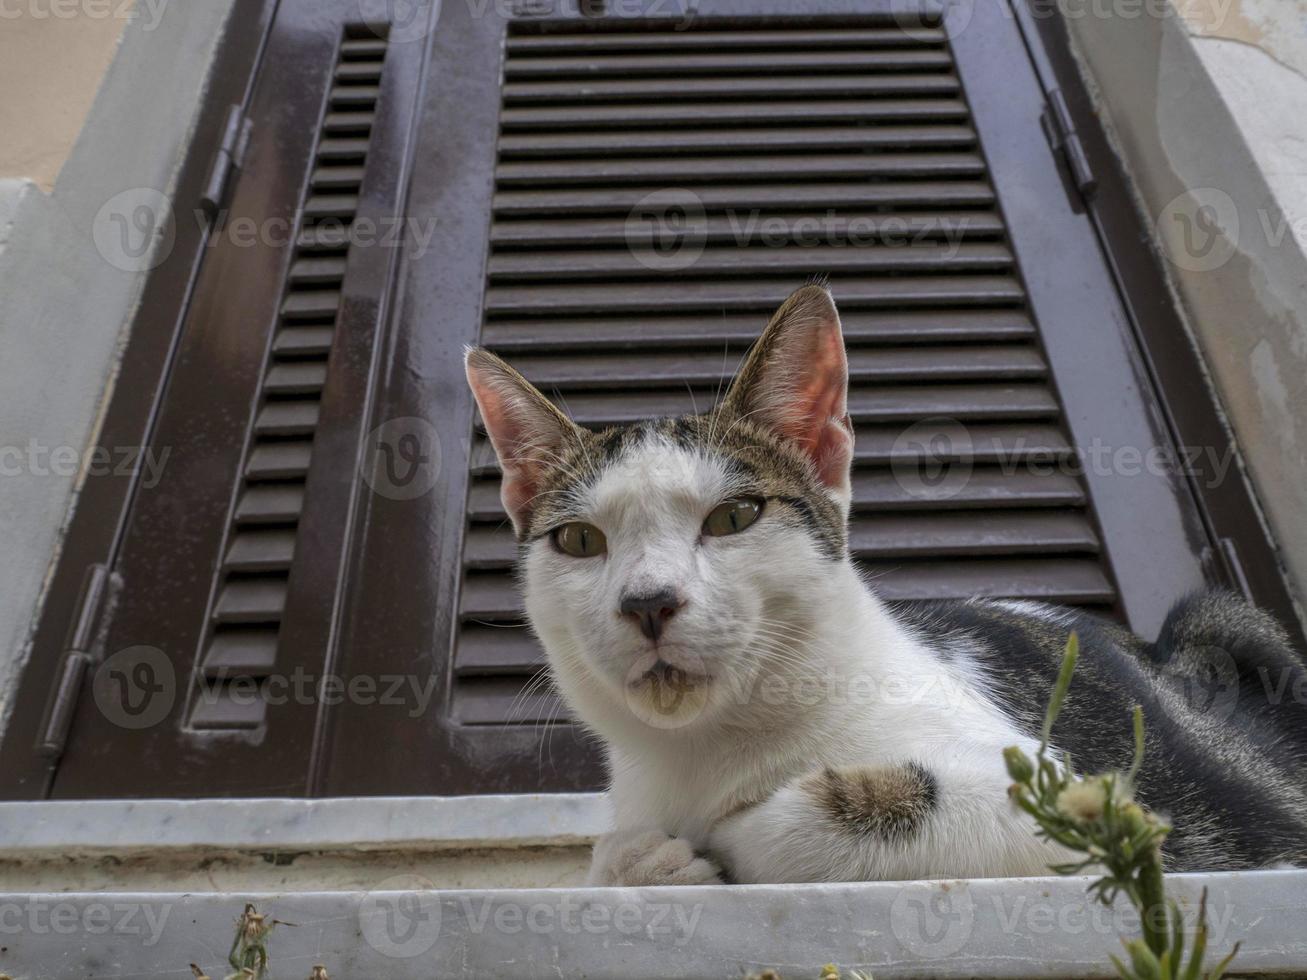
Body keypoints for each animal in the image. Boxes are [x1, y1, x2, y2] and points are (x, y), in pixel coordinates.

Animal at [465, 279, 1301, 888]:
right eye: (580, 540)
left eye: (734, 516)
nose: (648, 603)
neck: (704, 752)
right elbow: (609, 856)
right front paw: (647, 858)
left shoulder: (1078, 798)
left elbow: (835, 812)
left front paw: (722, 839)